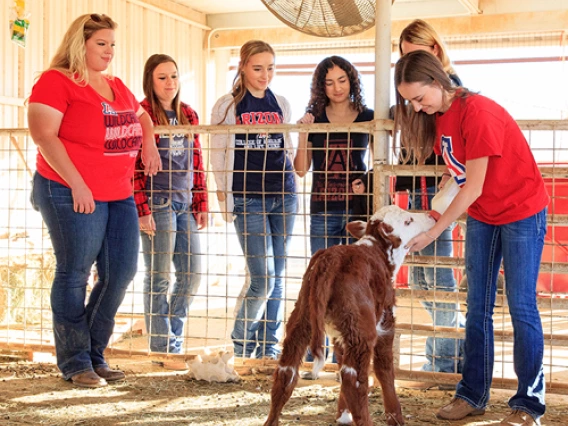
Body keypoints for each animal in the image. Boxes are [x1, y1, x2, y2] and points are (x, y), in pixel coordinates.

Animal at [262, 205, 434, 424]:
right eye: (408, 221)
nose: (430, 215)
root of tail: (331, 258)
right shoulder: (385, 325)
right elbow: (385, 369)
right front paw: (395, 418)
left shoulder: (339, 336)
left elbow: (340, 364)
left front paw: (343, 415)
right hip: (361, 331)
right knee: (355, 380)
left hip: (303, 320)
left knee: (287, 372)